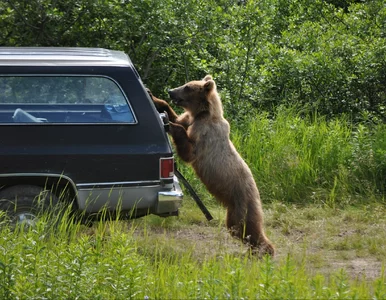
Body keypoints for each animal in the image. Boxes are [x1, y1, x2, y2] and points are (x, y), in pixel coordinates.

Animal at [148, 76, 274, 256]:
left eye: (187, 87)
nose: (171, 91)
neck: (203, 114)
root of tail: (257, 195)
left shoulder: (205, 135)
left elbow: (189, 151)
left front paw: (169, 124)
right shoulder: (190, 120)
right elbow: (178, 117)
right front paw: (155, 98)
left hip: (242, 203)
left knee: (247, 229)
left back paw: (266, 251)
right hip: (233, 210)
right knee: (237, 229)